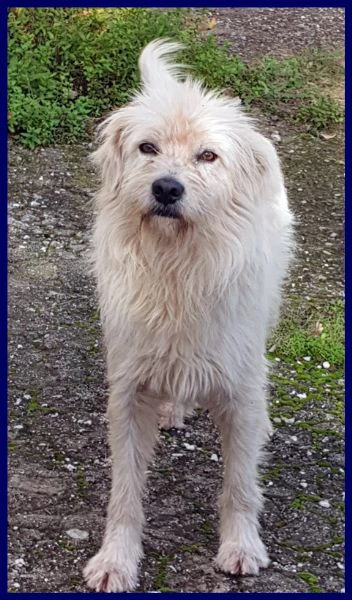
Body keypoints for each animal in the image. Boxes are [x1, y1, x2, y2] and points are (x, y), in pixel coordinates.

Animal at [83, 39, 294, 592]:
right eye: (147, 148)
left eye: (207, 155)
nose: (167, 189)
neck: (176, 265)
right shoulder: (129, 389)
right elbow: (124, 492)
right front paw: (116, 558)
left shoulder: (238, 386)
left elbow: (240, 482)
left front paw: (241, 546)